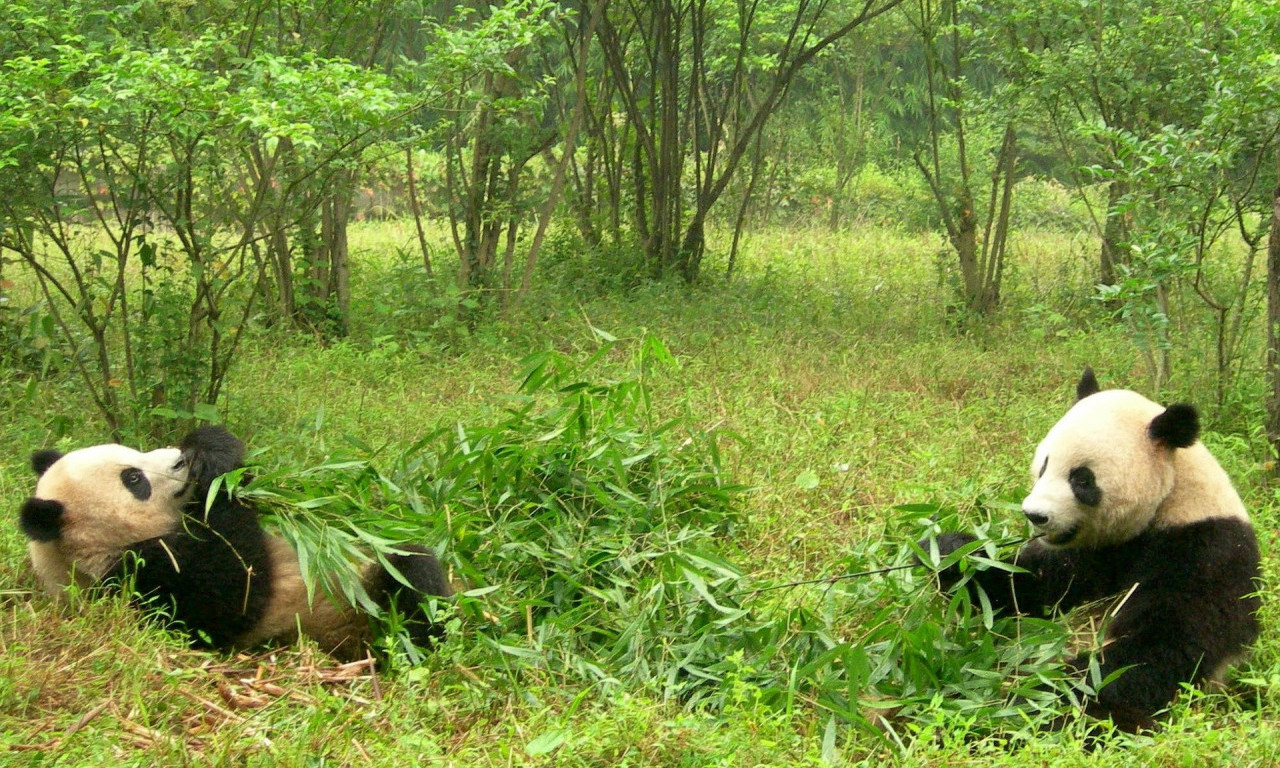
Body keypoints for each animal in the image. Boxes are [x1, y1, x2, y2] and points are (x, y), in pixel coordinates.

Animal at [17, 424, 453, 660]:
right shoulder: (142, 578)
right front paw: (216, 462)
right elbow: (233, 591)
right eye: (133, 479)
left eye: (134, 453)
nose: (180, 459)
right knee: (409, 588)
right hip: (352, 619)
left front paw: (206, 443)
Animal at [921, 368, 1259, 737]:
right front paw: (948, 552)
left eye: (1082, 479)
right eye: (1044, 466)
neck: (1171, 498)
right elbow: (1031, 587)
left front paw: (1037, 694)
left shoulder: (1205, 549)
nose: (1035, 515)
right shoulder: (1095, 551)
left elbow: (1162, 646)